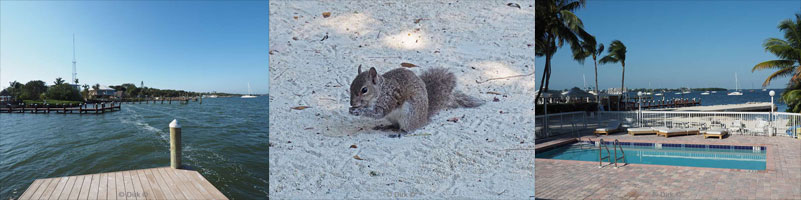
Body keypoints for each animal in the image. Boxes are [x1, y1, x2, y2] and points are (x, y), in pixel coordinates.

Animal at [346, 66, 482, 134]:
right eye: (351, 85)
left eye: (364, 90)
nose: (352, 103)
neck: (381, 90)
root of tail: (423, 119)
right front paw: (354, 109)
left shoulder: (388, 99)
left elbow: (377, 114)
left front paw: (358, 111)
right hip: (394, 117)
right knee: (395, 124)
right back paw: (386, 127)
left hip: (409, 114)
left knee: (410, 128)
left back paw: (401, 132)